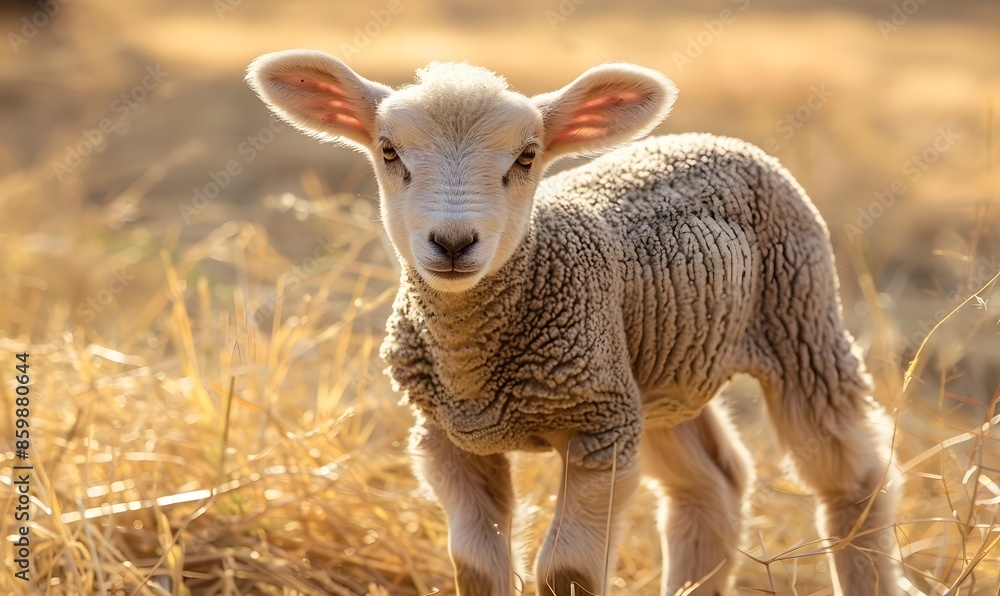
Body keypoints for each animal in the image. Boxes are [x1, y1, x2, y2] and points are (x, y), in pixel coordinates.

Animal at [246, 49, 901, 595]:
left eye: (526, 156)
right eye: (389, 151)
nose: (454, 243)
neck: (474, 363)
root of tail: (711, 138)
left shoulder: (598, 432)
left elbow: (567, 573)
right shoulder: (448, 439)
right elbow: (475, 569)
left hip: (800, 318)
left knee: (853, 477)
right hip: (655, 373)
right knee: (710, 488)